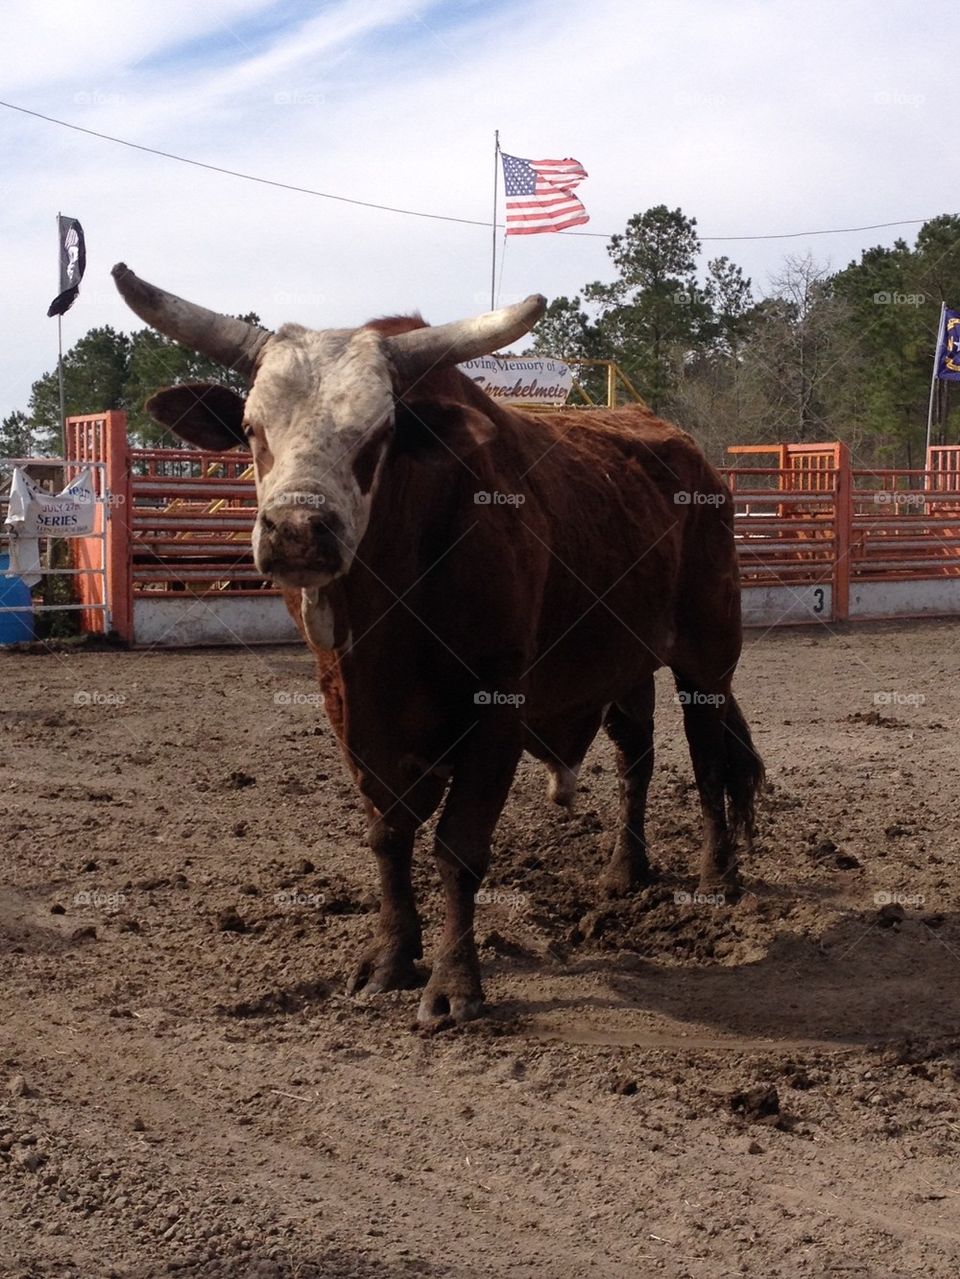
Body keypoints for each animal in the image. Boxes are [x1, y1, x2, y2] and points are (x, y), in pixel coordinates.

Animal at [110, 264, 766, 1023]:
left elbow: (459, 846)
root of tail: (687, 453)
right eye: (251, 427)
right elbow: (389, 835)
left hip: (706, 656)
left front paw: (453, 983)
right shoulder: (348, 709)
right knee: (638, 759)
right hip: (622, 663)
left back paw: (715, 877)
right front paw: (392, 957)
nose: (299, 529)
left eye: (381, 432)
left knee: (709, 759)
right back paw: (623, 872)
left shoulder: (497, 706)